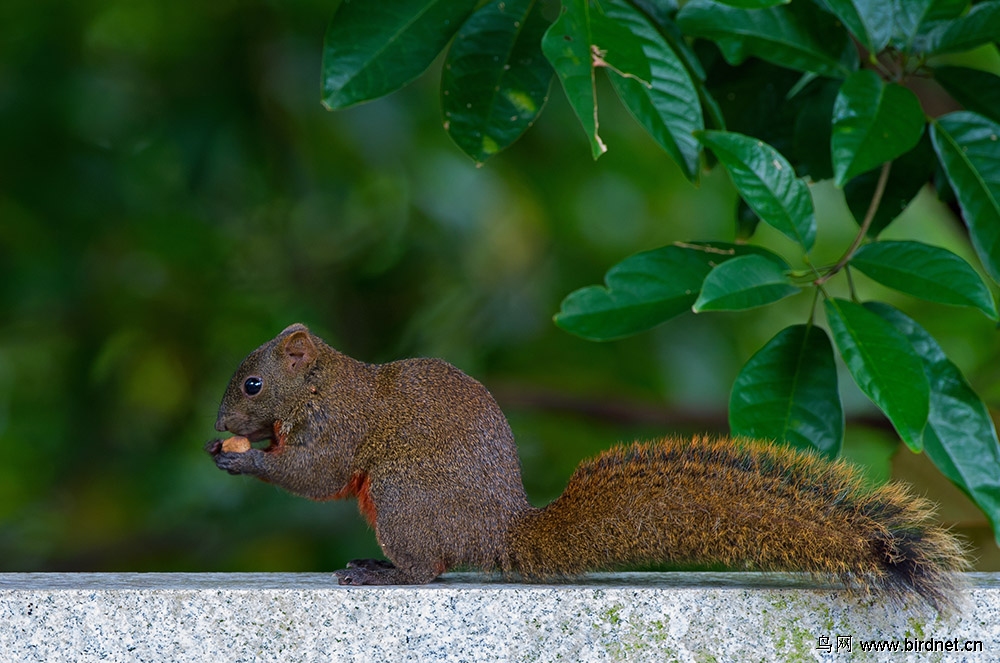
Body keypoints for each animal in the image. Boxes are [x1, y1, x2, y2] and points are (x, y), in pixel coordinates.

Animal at [205, 324, 968, 608]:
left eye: (252, 385)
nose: (218, 427)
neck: (323, 386)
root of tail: (500, 532)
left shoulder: (344, 428)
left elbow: (316, 475)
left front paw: (246, 463)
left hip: (401, 495)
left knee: (427, 568)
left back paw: (381, 570)